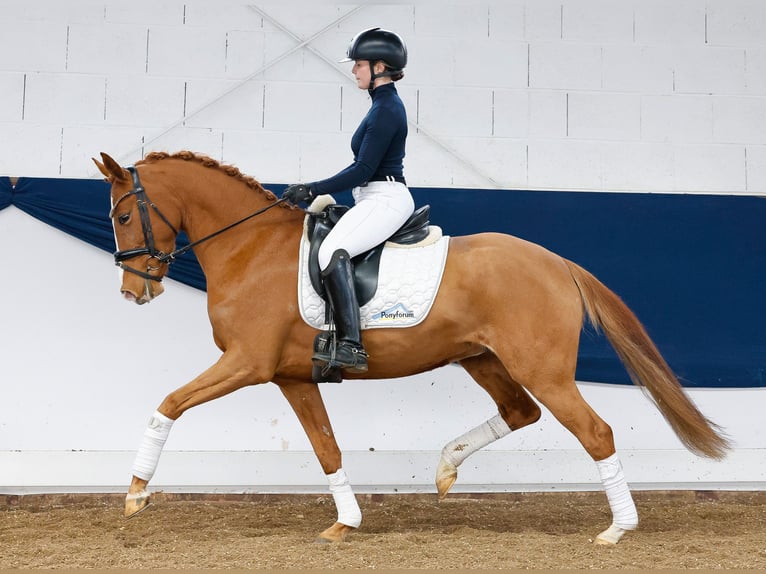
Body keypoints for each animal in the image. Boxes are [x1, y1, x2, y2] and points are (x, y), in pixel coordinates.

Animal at [93, 151, 728, 548]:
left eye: (123, 214)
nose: (133, 291)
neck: (249, 247)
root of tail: (558, 263)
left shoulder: (245, 363)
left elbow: (168, 404)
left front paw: (135, 494)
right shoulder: (291, 376)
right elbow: (326, 448)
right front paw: (345, 523)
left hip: (541, 369)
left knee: (594, 432)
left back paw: (618, 529)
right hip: (483, 359)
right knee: (520, 412)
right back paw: (446, 467)